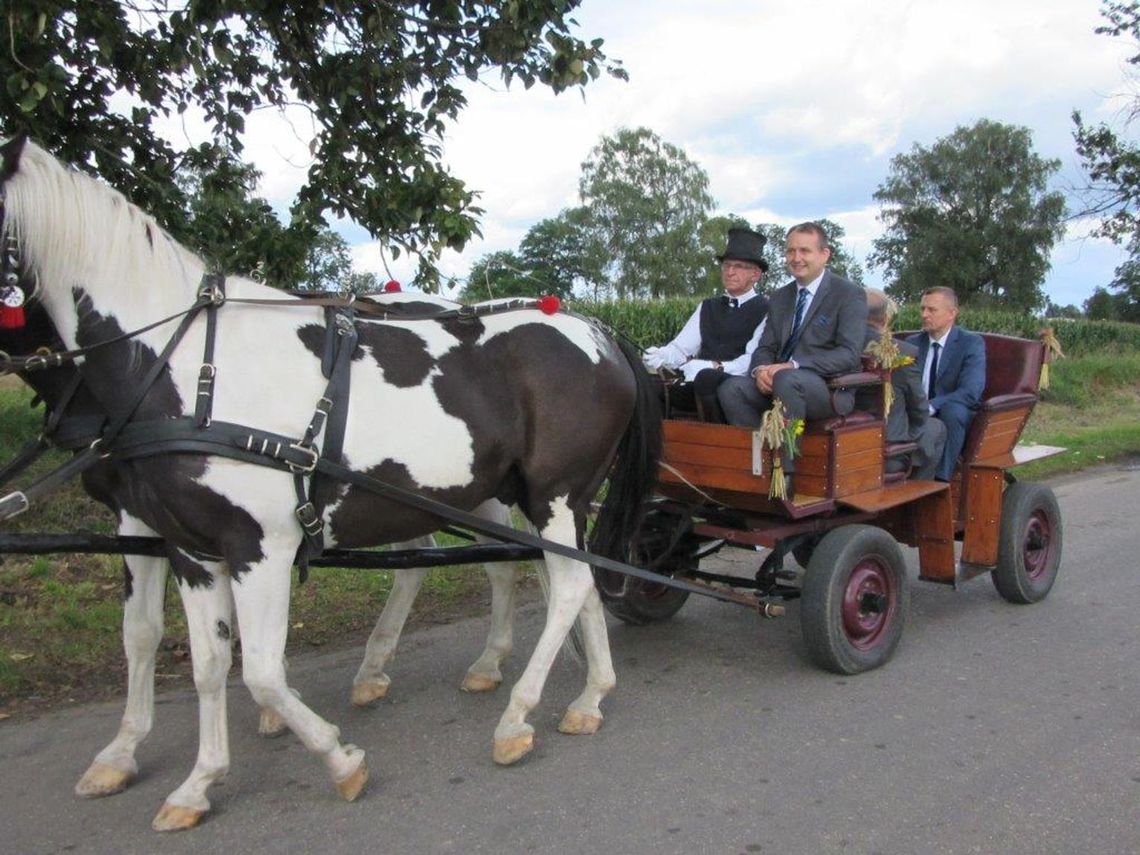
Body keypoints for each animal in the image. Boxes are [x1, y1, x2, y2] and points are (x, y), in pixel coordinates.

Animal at [0, 137, 661, 834]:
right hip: (535, 500)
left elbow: (262, 671)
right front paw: (193, 781)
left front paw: (338, 759)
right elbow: (199, 661)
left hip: (553, 495)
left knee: (565, 586)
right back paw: (588, 696)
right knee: (573, 580)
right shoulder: (188, 548)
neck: (189, 369)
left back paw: (516, 716)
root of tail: (598, 332)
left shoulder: (258, 546)